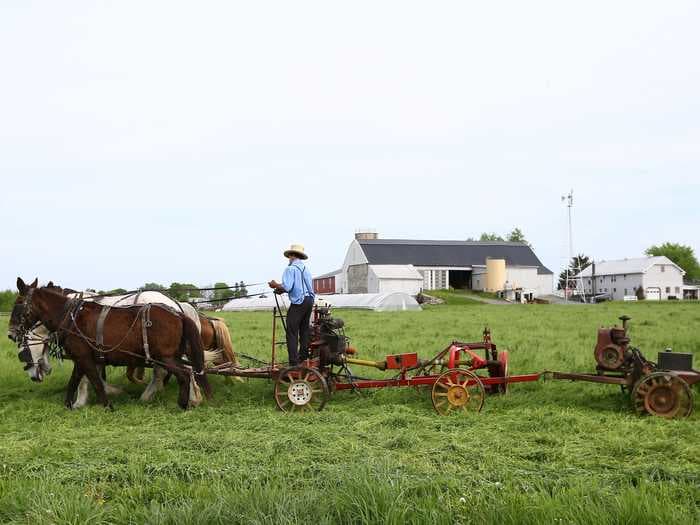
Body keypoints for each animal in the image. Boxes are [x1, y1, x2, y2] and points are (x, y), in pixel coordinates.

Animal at [13, 278, 211, 410]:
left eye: (18, 304)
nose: (12, 333)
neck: (71, 317)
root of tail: (178, 312)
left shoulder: (83, 357)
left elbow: (92, 380)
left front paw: (104, 404)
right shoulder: (83, 357)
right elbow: (77, 380)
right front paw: (70, 404)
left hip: (164, 357)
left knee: (181, 373)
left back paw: (181, 402)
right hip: (170, 355)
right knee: (187, 371)